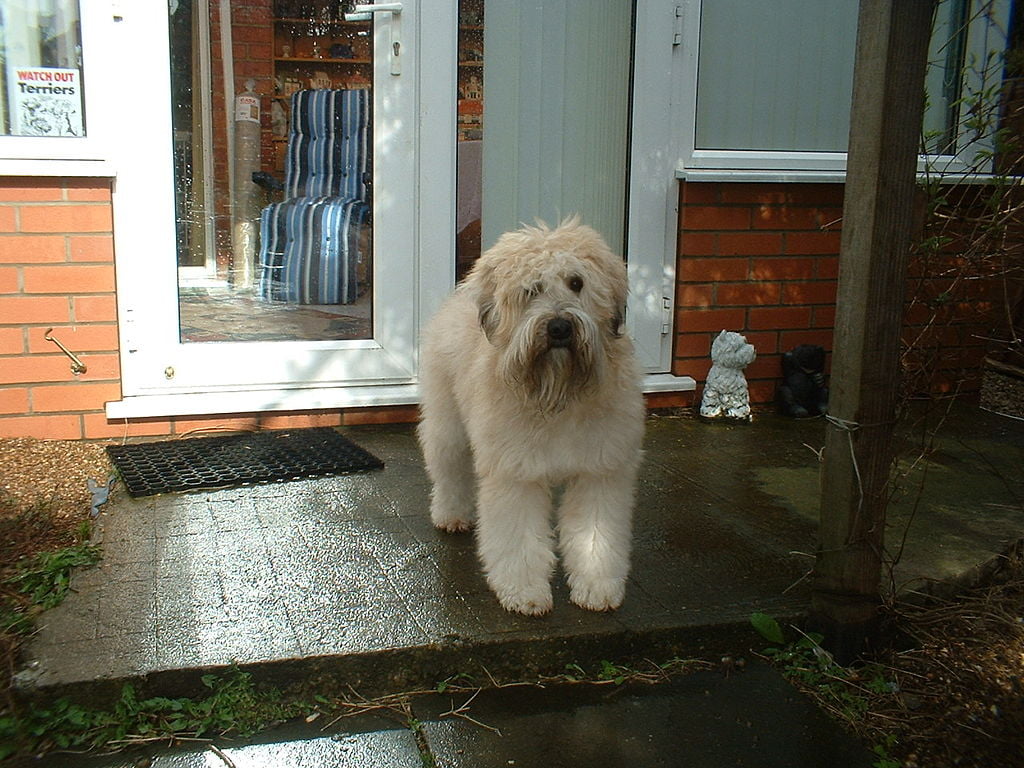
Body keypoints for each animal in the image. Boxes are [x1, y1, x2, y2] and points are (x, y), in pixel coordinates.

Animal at [413, 219, 638, 618]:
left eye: (577, 282)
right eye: (531, 290)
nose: (560, 327)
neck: (557, 392)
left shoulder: (600, 471)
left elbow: (595, 536)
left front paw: (596, 587)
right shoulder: (516, 473)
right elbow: (518, 537)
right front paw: (524, 591)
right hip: (447, 425)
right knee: (449, 470)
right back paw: (451, 514)